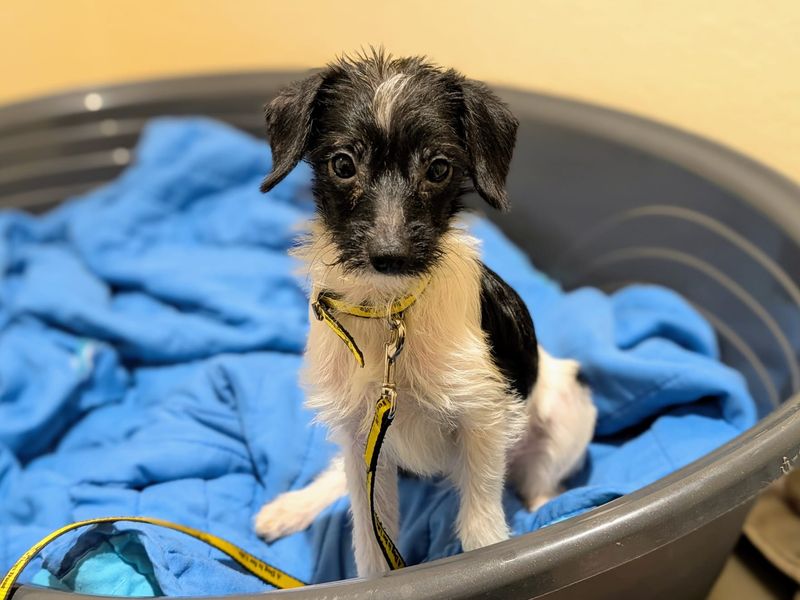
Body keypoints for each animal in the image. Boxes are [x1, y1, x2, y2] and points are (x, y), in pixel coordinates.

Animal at [253, 52, 596, 580]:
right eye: (343, 164)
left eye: (438, 168)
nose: (389, 256)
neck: (387, 313)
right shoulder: (363, 434)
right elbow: (370, 538)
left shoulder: (483, 417)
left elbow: (480, 527)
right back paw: (295, 505)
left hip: (567, 408)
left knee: (538, 483)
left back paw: (552, 510)